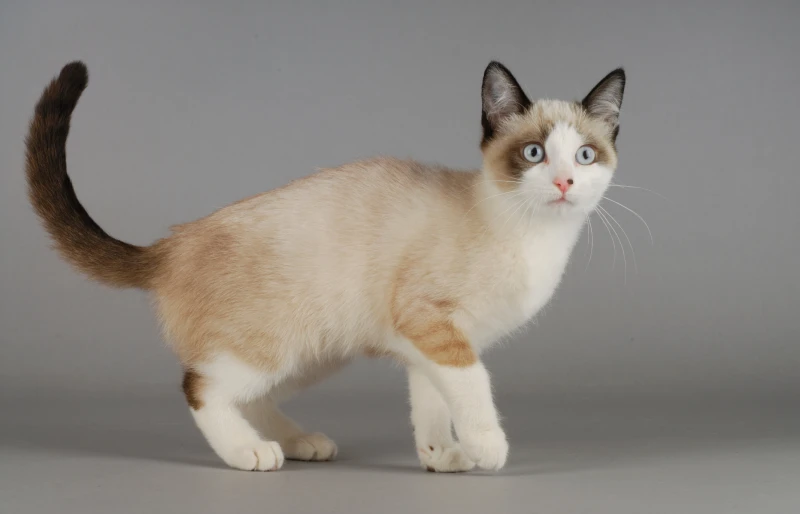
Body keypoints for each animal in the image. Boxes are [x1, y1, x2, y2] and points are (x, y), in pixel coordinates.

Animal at [25, 58, 624, 470]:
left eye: (585, 156)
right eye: (533, 154)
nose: (565, 182)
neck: (532, 236)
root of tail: (169, 244)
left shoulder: (426, 343)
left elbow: (431, 404)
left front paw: (441, 458)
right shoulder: (439, 329)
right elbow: (473, 386)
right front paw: (486, 447)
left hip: (313, 353)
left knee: (250, 396)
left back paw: (297, 442)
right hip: (273, 345)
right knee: (201, 386)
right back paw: (251, 452)